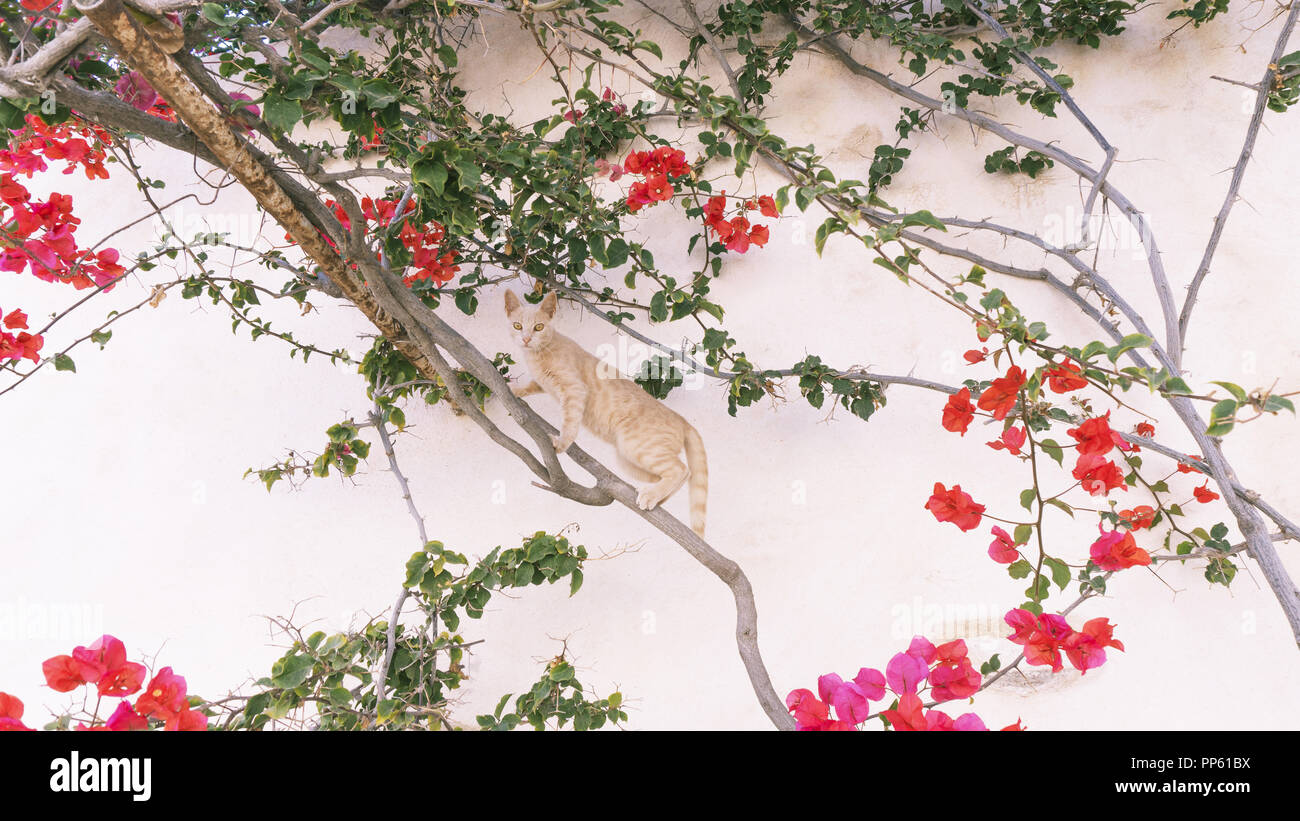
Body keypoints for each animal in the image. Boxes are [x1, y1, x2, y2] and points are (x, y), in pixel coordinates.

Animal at [504, 289, 712, 537]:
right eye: (517, 326)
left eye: (538, 327)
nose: (526, 339)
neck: (539, 354)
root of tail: (682, 419)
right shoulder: (542, 383)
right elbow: (531, 385)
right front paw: (514, 390)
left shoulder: (575, 390)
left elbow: (569, 422)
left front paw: (561, 443)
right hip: (627, 459)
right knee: (677, 475)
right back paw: (653, 497)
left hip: (637, 446)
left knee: (681, 469)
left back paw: (651, 495)